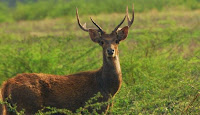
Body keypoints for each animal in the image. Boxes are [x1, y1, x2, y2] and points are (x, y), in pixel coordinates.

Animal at [0, 5, 134, 115]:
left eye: (116, 40)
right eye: (101, 42)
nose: (110, 51)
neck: (108, 89)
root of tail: (6, 85)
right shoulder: (95, 107)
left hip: (11, 109)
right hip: (27, 107)